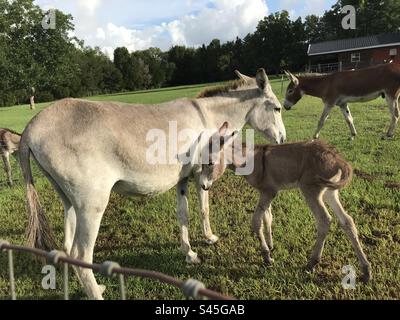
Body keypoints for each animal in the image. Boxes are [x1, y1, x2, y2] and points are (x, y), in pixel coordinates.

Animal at [200, 124, 372, 282]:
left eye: (210, 163)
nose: (203, 186)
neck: (249, 159)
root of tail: (338, 158)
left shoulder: (269, 192)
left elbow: (256, 222)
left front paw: (266, 257)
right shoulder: (265, 193)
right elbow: (267, 217)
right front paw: (270, 246)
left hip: (311, 190)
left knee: (324, 220)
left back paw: (312, 263)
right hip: (330, 192)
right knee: (347, 221)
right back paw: (366, 270)